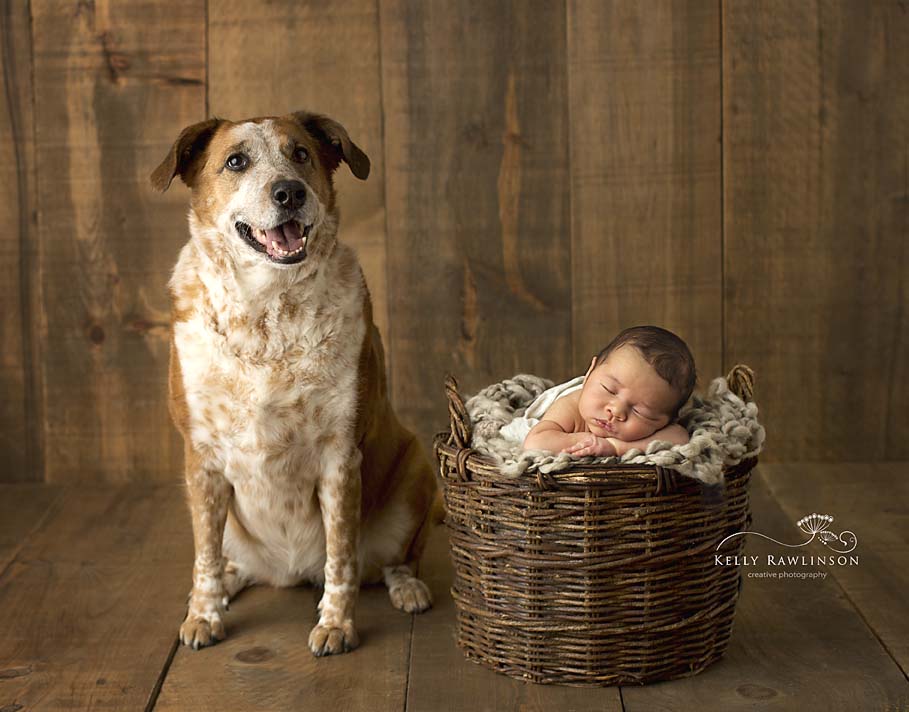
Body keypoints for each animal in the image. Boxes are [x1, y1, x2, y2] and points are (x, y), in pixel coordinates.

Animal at [152, 110, 440, 656]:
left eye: (301, 153)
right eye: (235, 161)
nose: (289, 192)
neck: (267, 310)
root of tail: (290, 573)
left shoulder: (340, 457)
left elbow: (341, 558)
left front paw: (336, 625)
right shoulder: (201, 460)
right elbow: (203, 558)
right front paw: (204, 614)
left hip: (416, 470)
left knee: (392, 560)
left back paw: (408, 588)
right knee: (228, 560)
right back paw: (227, 582)